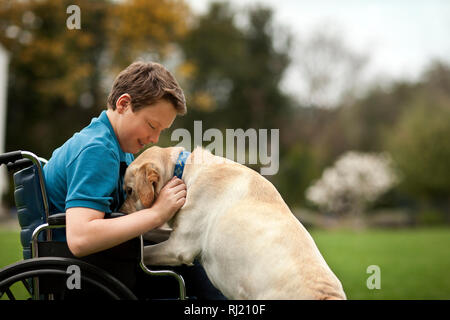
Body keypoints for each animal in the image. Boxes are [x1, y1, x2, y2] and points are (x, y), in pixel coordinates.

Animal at [119, 146, 344, 300]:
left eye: (129, 191)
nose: (118, 213)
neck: (183, 172)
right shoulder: (174, 235)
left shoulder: (178, 247)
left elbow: (145, 253)